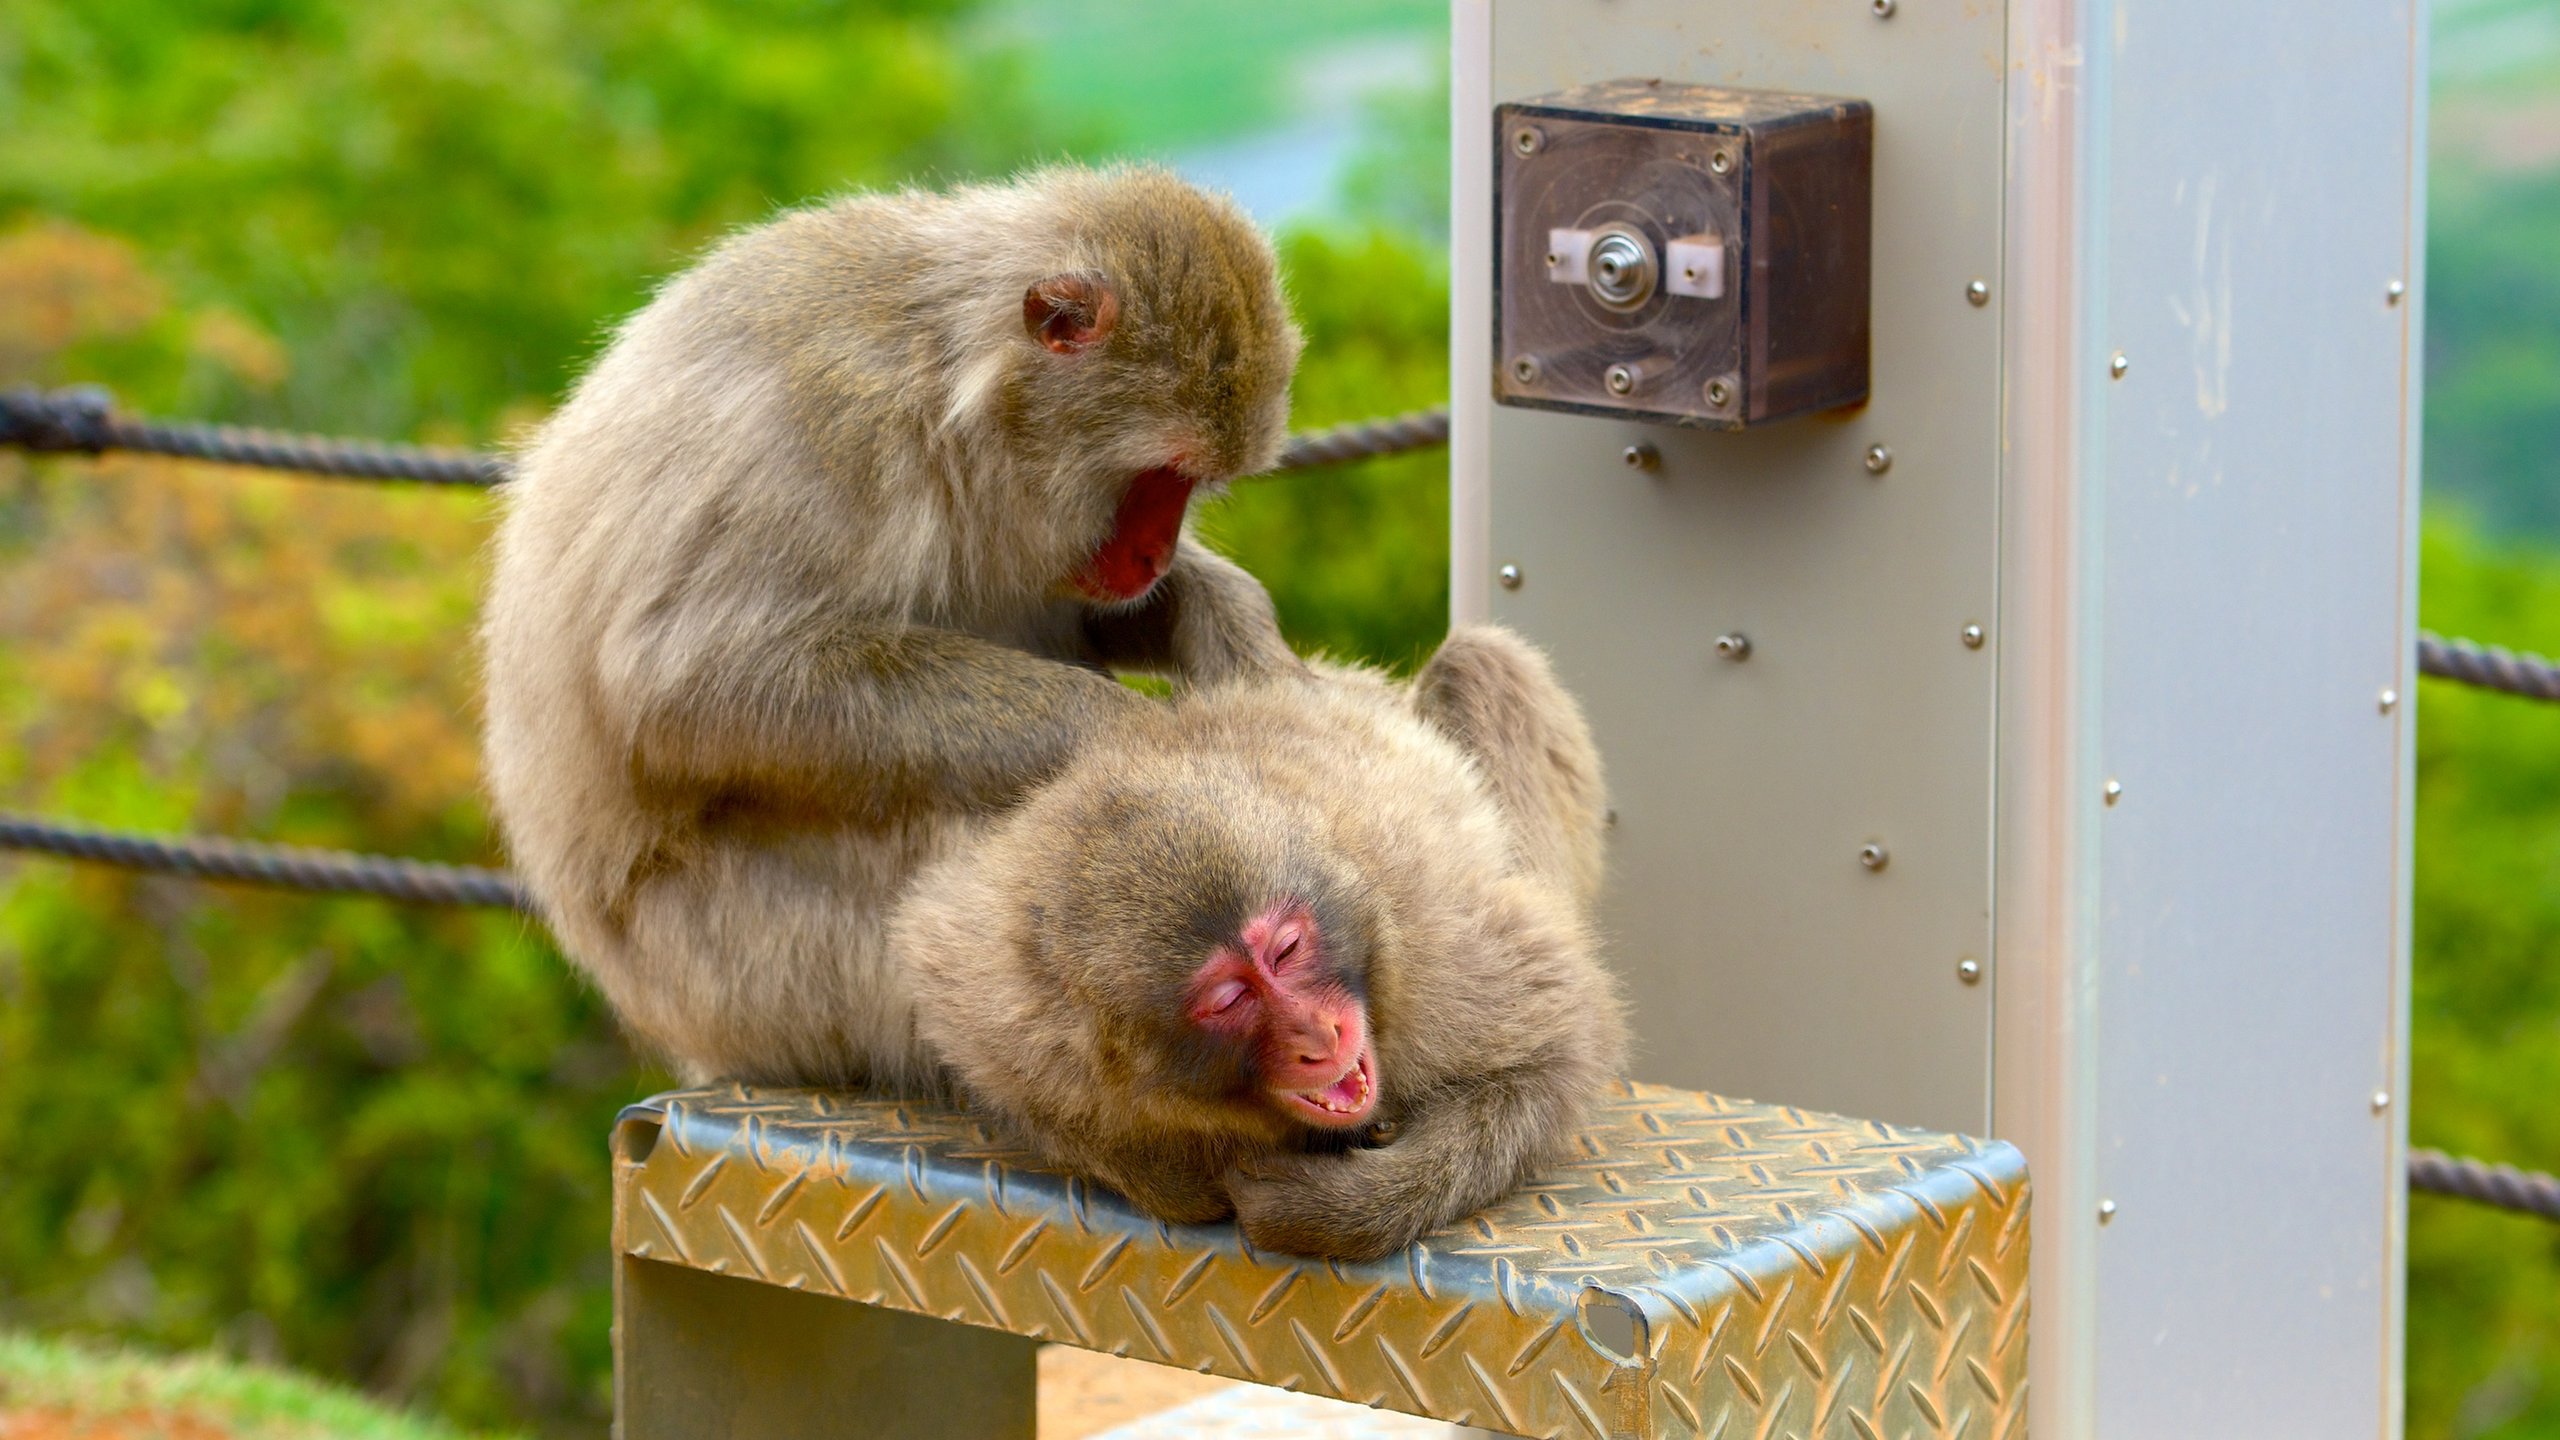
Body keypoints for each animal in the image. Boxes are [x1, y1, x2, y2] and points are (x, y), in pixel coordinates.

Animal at [483, 167, 1300, 1081]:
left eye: (1187, 487)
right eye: (1160, 476)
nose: (1155, 553)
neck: (947, 382)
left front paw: (1244, 641)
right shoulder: (826, 432)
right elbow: (693, 683)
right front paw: (1140, 737)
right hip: (757, 974)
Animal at [890, 627, 1628, 1255]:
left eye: (1287, 950)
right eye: (1229, 997)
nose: (1320, 1035)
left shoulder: (1442, 956)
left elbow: (1564, 1049)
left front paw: (1327, 1210)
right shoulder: (1011, 1013)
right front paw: (1171, 1173)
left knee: (1481, 662)